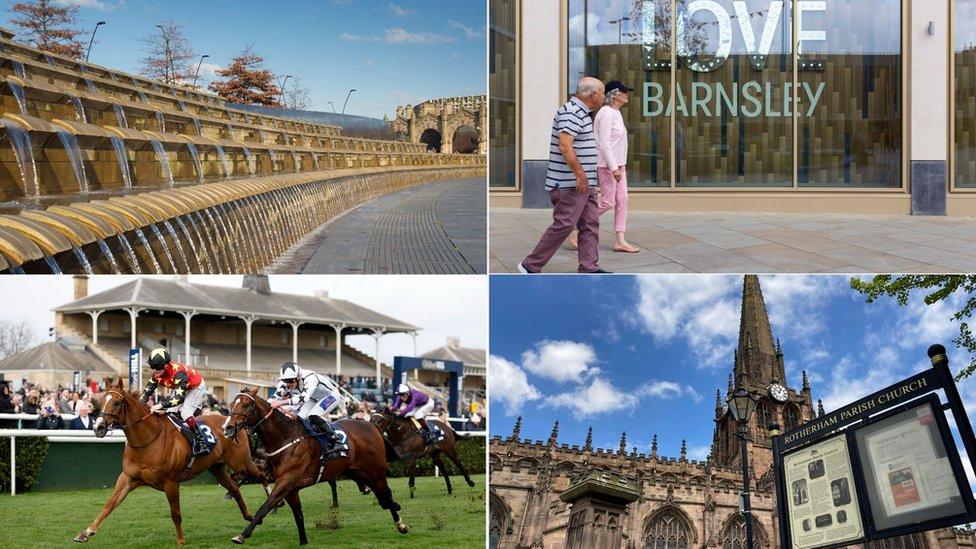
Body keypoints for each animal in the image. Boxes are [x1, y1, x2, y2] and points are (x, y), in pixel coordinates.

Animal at [74, 378, 268, 544]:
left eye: (116, 402)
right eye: (100, 401)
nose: (98, 427)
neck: (148, 440)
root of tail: (232, 422)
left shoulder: (171, 482)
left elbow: (176, 514)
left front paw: (181, 540)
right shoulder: (128, 477)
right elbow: (110, 504)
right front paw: (86, 532)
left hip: (241, 463)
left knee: (261, 474)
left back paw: (269, 503)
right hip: (217, 468)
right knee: (234, 489)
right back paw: (250, 517)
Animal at [224, 386, 408, 544]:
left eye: (246, 405)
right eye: (232, 405)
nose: (228, 428)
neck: (286, 438)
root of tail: (371, 425)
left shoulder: (286, 481)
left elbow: (266, 506)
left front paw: (242, 535)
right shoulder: (291, 489)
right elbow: (298, 515)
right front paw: (303, 541)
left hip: (376, 470)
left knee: (386, 494)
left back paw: (401, 525)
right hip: (356, 471)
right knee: (381, 495)